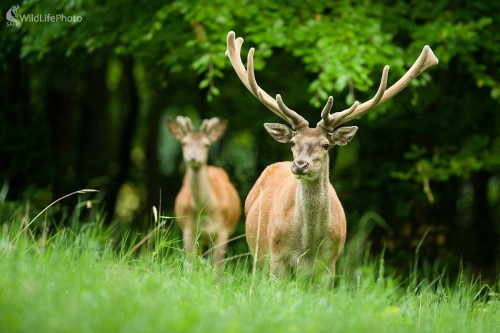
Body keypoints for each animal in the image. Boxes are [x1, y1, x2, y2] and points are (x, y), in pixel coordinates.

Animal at [167, 115, 241, 266]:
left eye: (206, 144)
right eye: (184, 143)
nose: (193, 157)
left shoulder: (223, 231)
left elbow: (217, 267)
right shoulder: (188, 230)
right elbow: (189, 263)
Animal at [226, 31, 438, 280]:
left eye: (326, 145)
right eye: (293, 142)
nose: (300, 165)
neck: (306, 248)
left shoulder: (330, 264)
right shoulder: (277, 258)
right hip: (257, 253)